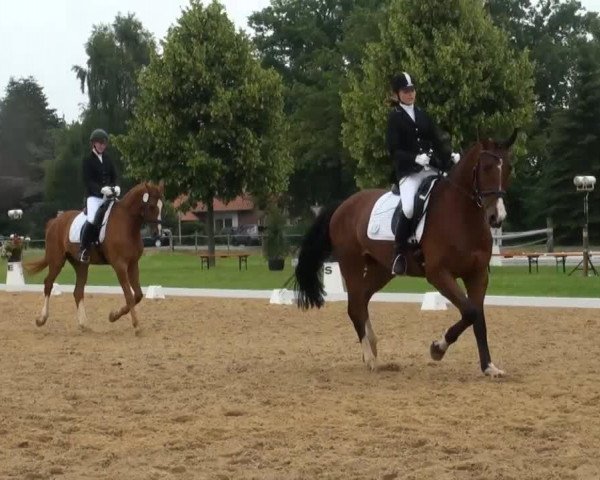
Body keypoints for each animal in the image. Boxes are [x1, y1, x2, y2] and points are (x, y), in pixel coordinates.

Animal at [25, 182, 163, 332]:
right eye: (152, 206)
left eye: (162, 206)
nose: (157, 234)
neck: (127, 223)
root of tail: (54, 221)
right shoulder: (119, 265)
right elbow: (129, 296)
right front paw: (136, 325)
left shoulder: (133, 264)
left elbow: (137, 295)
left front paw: (113, 316)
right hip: (56, 260)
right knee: (48, 283)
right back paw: (41, 319)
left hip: (80, 264)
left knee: (78, 291)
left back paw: (83, 323)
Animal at [292, 131, 516, 378]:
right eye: (486, 167)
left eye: (509, 168)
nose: (497, 217)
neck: (461, 214)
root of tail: (344, 204)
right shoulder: (438, 274)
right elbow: (470, 312)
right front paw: (437, 349)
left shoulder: (477, 275)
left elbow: (478, 318)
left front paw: (489, 367)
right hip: (351, 264)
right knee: (354, 306)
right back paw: (370, 358)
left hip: (381, 269)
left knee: (362, 299)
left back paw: (372, 347)